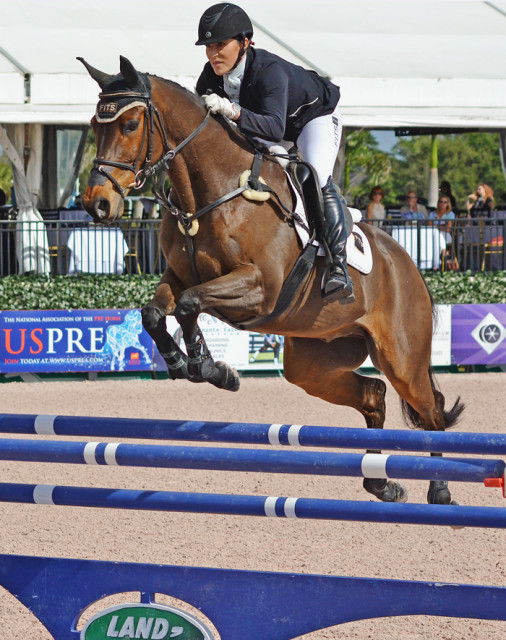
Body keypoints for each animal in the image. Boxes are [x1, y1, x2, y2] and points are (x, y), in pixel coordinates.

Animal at [81, 55, 464, 504]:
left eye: (129, 125)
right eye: (95, 124)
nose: (96, 204)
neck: (213, 191)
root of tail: (408, 265)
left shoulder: (259, 288)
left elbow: (192, 304)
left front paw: (210, 369)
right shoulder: (177, 276)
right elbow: (155, 313)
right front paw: (185, 363)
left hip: (402, 358)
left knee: (430, 413)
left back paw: (439, 490)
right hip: (314, 361)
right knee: (374, 395)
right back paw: (381, 483)